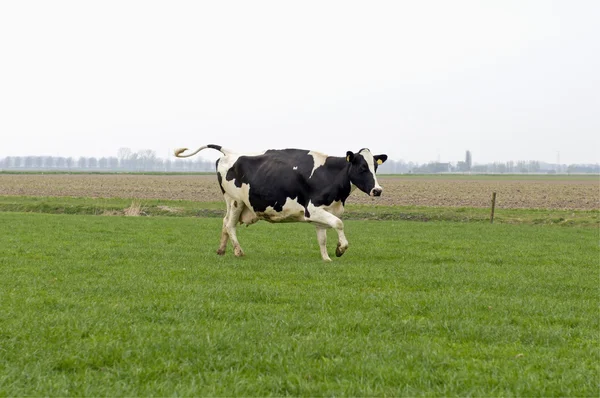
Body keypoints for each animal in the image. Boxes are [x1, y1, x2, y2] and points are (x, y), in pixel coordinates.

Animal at [173, 144, 390, 262]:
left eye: (375, 167)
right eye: (362, 168)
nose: (377, 190)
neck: (330, 174)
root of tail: (230, 153)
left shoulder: (324, 212)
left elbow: (322, 237)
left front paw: (326, 258)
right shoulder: (312, 209)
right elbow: (339, 223)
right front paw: (340, 249)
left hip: (234, 203)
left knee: (224, 223)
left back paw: (222, 250)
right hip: (236, 201)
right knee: (230, 225)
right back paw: (239, 251)